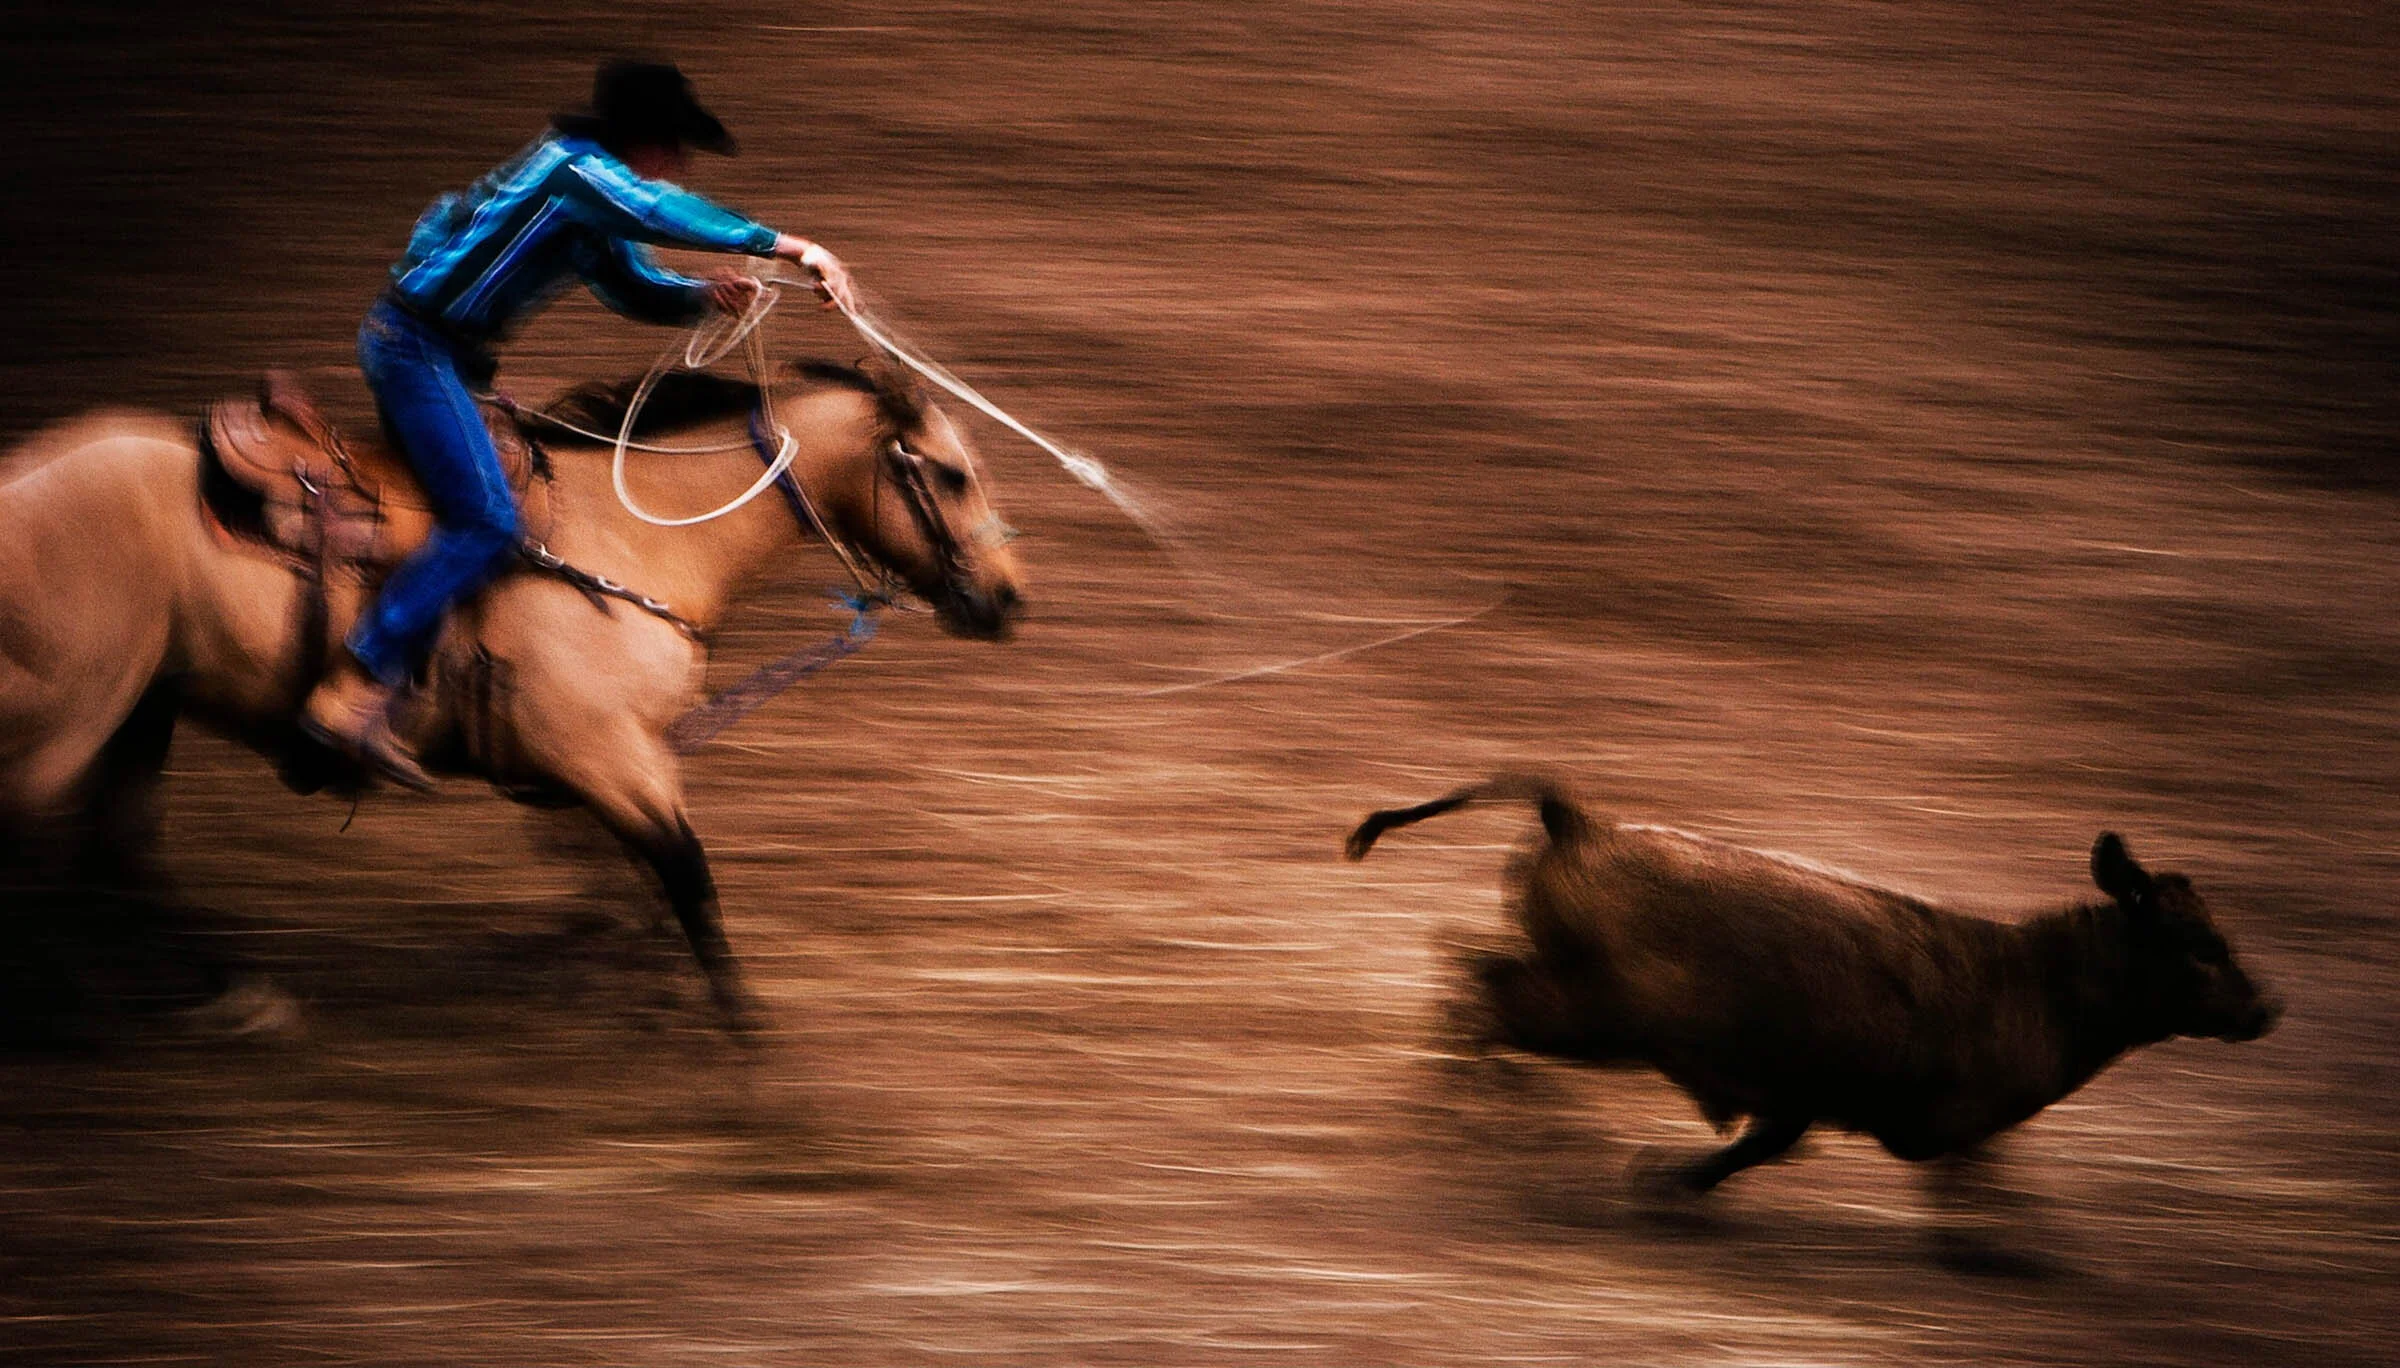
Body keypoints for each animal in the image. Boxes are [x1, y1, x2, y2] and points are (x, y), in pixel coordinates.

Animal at [1346, 775, 2281, 1194]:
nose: (2266, 1006)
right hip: (1593, 1017)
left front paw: (1673, 1179)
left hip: (1577, 1002)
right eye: (2202, 947)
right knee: (1478, 988)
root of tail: (1578, 820)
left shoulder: (1802, 1098)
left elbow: (1762, 1143)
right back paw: (1480, 1101)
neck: (2034, 980)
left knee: (1469, 969)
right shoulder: (1939, 1124)